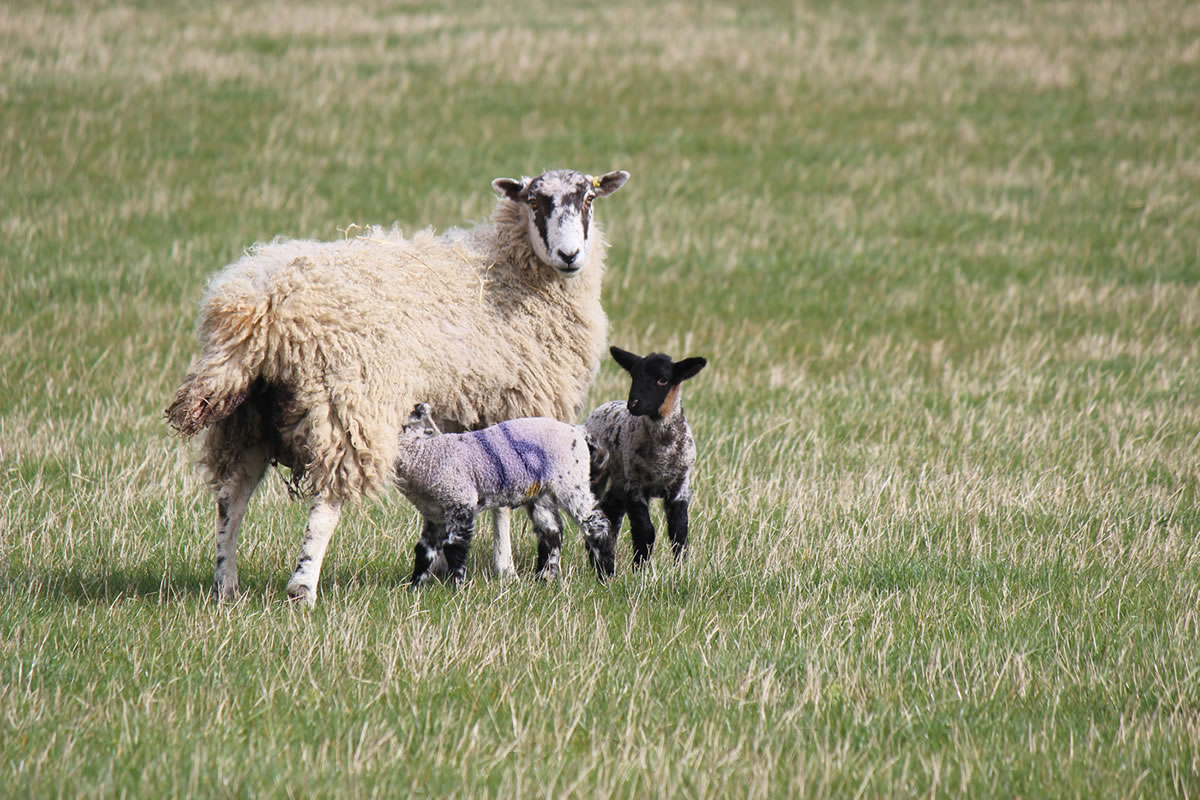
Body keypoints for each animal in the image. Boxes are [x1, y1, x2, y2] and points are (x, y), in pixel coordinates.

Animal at [395, 403, 614, 586]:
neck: (427, 456)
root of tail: (578, 431)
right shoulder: (435, 515)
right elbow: (424, 550)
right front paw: (414, 587)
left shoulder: (461, 502)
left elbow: (455, 548)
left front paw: (456, 587)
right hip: (541, 493)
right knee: (551, 533)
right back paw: (545, 578)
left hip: (571, 481)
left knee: (596, 524)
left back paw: (605, 574)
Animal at [585, 346, 708, 569]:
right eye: (634, 376)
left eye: (663, 380)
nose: (633, 404)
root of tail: (603, 406)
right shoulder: (635, 487)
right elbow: (645, 531)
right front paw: (640, 568)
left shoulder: (680, 486)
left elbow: (679, 531)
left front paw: (681, 568)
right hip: (599, 474)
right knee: (595, 511)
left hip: (619, 480)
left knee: (610, 511)